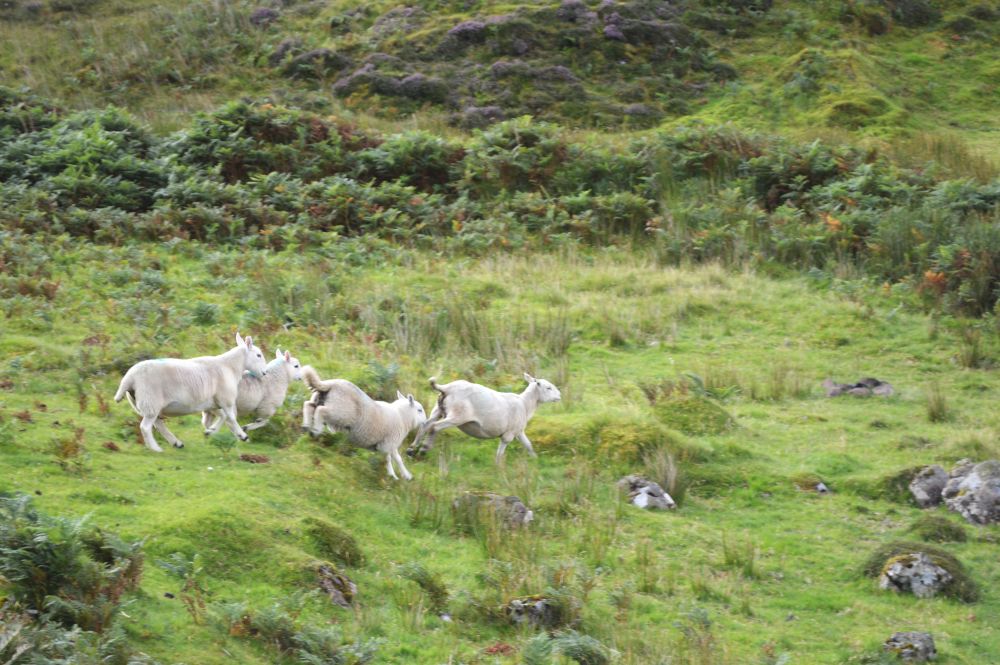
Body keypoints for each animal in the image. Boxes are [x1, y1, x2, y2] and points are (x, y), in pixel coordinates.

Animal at [114, 332, 269, 452]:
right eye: (258, 355)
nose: (265, 373)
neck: (230, 367)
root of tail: (129, 378)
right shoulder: (226, 399)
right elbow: (231, 418)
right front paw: (242, 435)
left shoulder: (213, 403)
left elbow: (223, 417)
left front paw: (210, 431)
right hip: (151, 401)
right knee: (146, 427)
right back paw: (156, 448)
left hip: (144, 404)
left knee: (158, 424)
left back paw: (176, 443)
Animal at [407, 373, 561, 463]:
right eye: (548, 387)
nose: (559, 396)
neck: (525, 403)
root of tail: (447, 388)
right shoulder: (509, 433)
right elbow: (501, 451)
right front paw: (498, 466)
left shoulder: (518, 431)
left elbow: (528, 445)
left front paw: (535, 459)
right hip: (458, 415)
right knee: (434, 427)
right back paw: (424, 449)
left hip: (438, 410)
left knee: (425, 425)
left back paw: (412, 449)